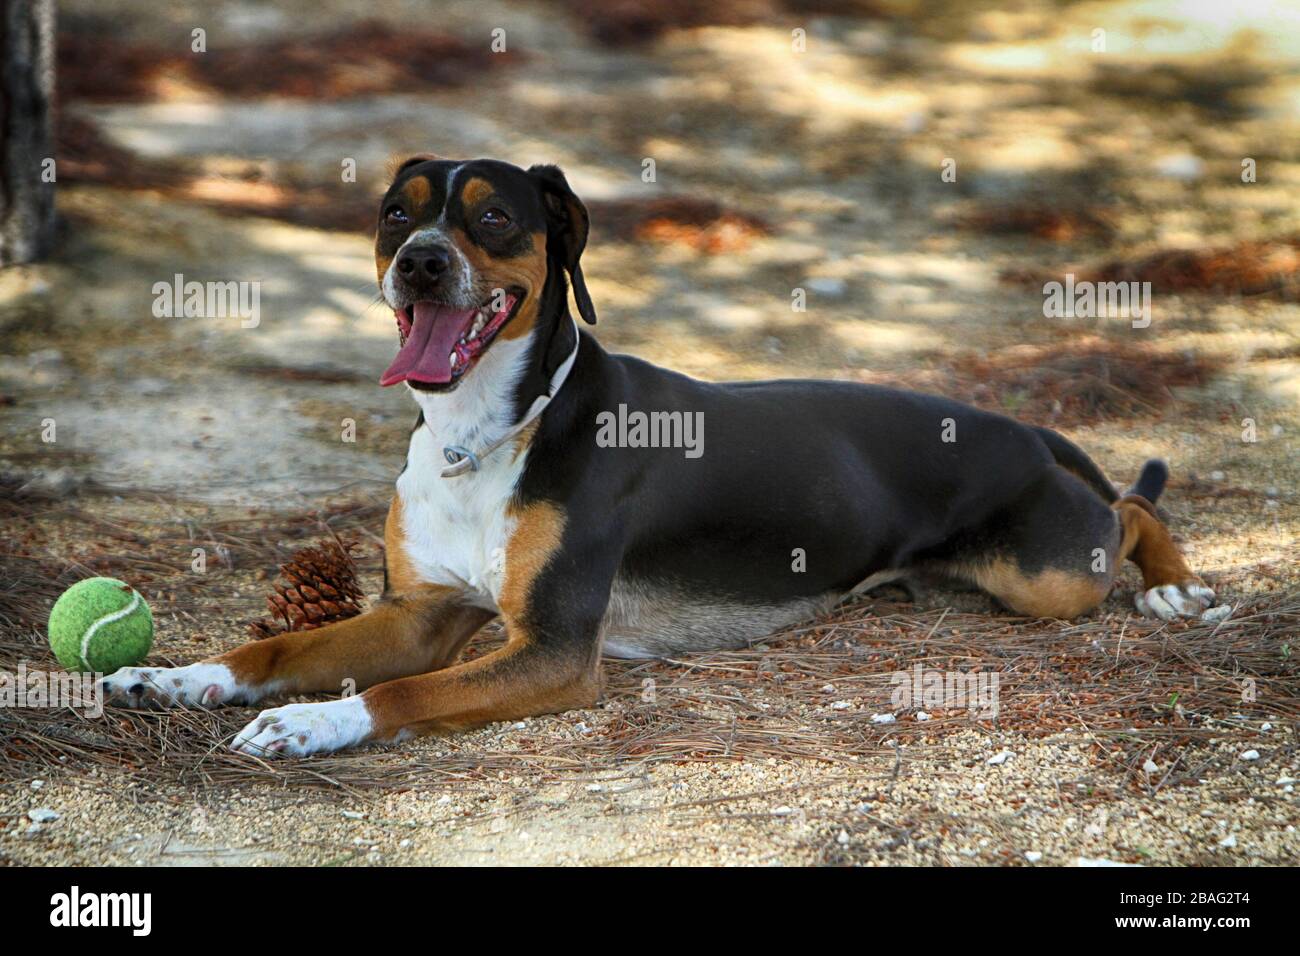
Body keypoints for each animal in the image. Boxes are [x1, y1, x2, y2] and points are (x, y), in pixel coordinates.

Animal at [98, 155, 1216, 754]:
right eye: (394, 211)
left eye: (493, 215)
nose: (419, 262)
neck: (490, 431)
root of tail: (1020, 428)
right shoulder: (423, 615)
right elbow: (276, 651)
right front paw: (177, 675)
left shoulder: (552, 651)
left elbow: (395, 694)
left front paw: (310, 728)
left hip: (1046, 573)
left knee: (1131, 508)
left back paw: (1172, 586)